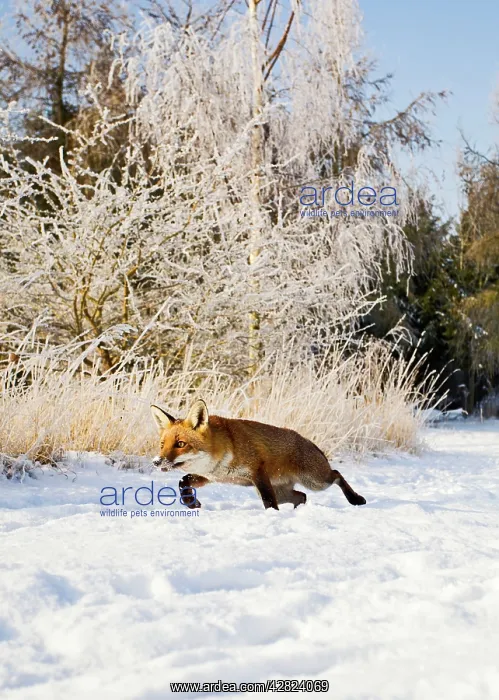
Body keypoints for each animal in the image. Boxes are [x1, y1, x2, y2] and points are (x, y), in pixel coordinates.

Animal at [150, 399, 366, 511]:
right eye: (162, 445)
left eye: (180, 444)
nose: (156, 462)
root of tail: (308, 441)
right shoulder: (211, 476)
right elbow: (183, 481)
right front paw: (192, 503)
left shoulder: (257, 473)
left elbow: (268, 502)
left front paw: (272, 516)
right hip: (287, 491)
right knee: (301, 496)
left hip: (315, 481)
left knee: (336, 475)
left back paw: (355, 499)